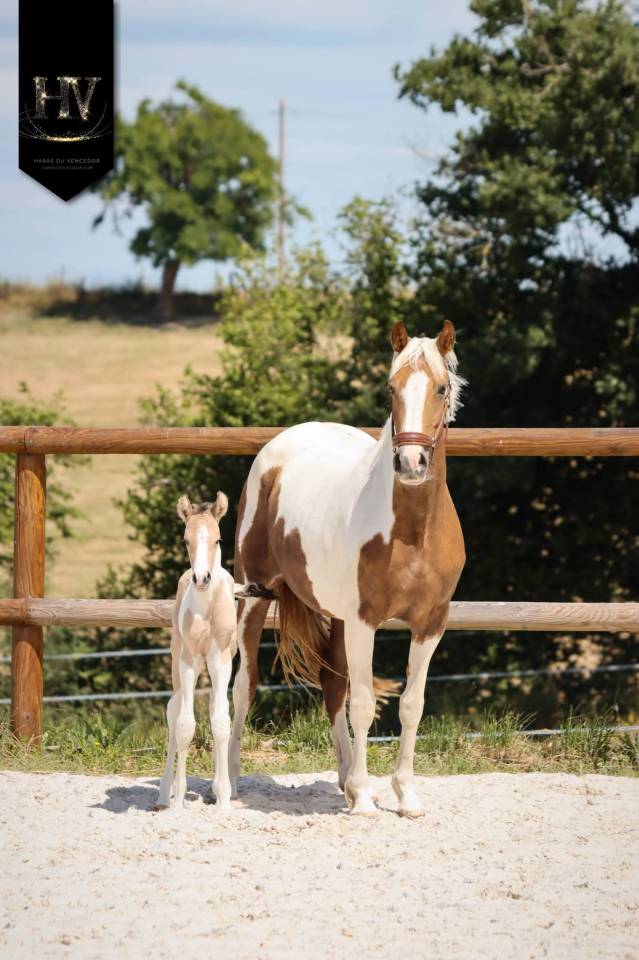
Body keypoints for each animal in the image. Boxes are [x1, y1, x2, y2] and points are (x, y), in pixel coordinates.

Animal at [229, 319, 466, 816]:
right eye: (391, 387)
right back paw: (232, 780)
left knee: (331, 685)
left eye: (441, 387)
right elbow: (363, 704)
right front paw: (364, 800)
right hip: (252, 596)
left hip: (333, 615)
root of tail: (279, 447)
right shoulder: (364, 621)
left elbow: (411, 705)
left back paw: (346, 782)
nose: (411, 463)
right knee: (245, 684)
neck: (412, 533)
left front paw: (402, 794)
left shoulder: (431, 623)